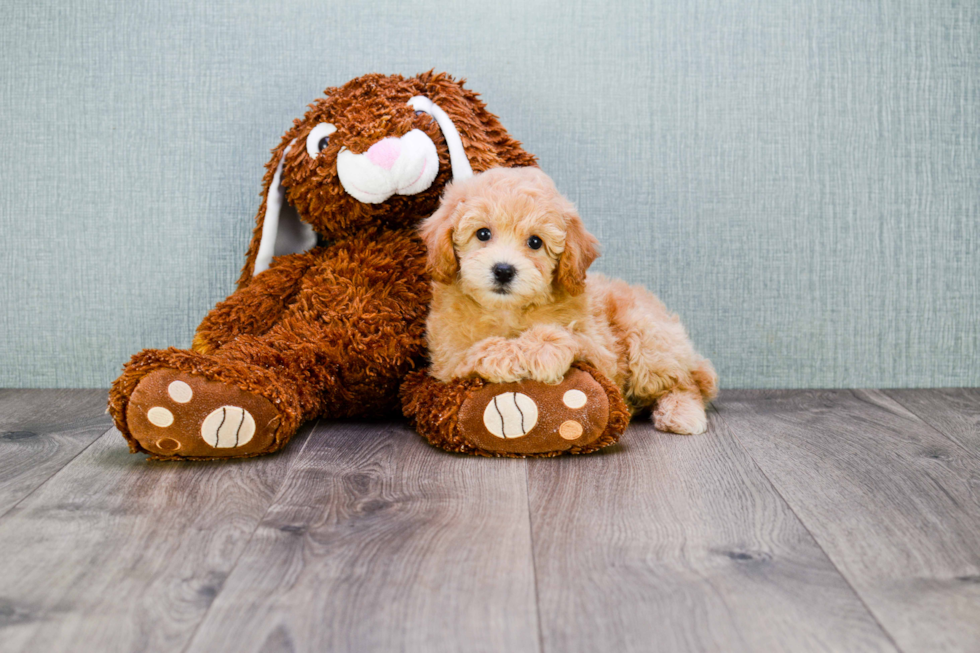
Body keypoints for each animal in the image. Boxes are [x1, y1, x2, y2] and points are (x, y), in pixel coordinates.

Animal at [418, 167, 716, 432]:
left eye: (535, 242)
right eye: (482, 233)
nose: (503, 270)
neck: (509, 310)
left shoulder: (602, 351)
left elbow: (567, 335)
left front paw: (541, 351)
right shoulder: (447, 358)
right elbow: (475, 350)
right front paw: (504, 355)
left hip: (648, 338)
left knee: (685, 382)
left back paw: (681, 412)